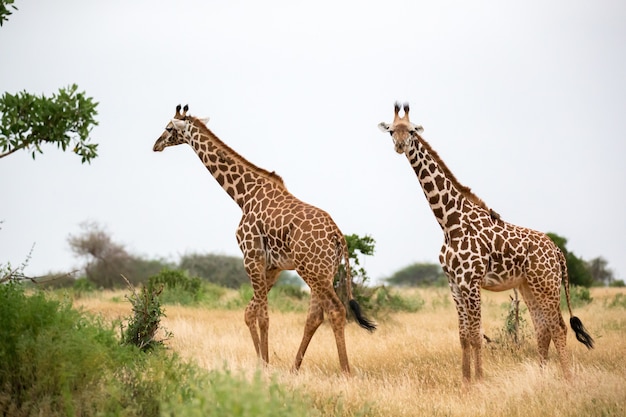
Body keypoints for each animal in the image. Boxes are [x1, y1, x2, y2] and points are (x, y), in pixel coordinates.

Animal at [153, 104, 372, 374]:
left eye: (168, 128)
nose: (156, 144)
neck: (243, 195)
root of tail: (339, 236)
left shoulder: (251, 256)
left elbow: (262, 316)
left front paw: (264, 366)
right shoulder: (273, 266)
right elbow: (251, 311)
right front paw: (263, 362)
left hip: (312, 270)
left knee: (336, 310)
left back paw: (345, 371)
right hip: (324, 271)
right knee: (315, 316)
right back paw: (294, 368)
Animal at [378, 102, 592, 382]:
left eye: (412, 130)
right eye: (392, 130)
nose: (400, 145)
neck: (449, 222)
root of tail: (557, 251)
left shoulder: (471, 281)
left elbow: (476, 335)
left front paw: (479, 379)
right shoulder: (454, 283)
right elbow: (463, 336)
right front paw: (465, 380)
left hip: (546, 284)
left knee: (558, 326)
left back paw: (567, 378)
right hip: (528, 286)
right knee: (542, 327)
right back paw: (542, 375)